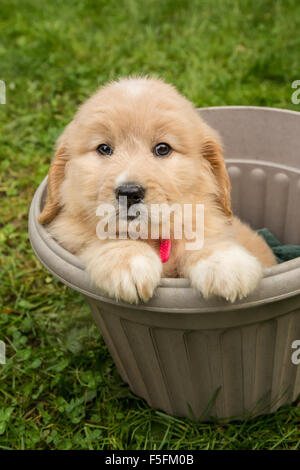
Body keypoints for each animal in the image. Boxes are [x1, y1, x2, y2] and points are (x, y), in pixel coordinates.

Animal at [38, 76, 278, 304]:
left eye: (162, 149)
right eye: (104, 148)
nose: (129, 193)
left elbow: (199, 232)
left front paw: (224, 263)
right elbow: (98, 235)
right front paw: (130, 261)